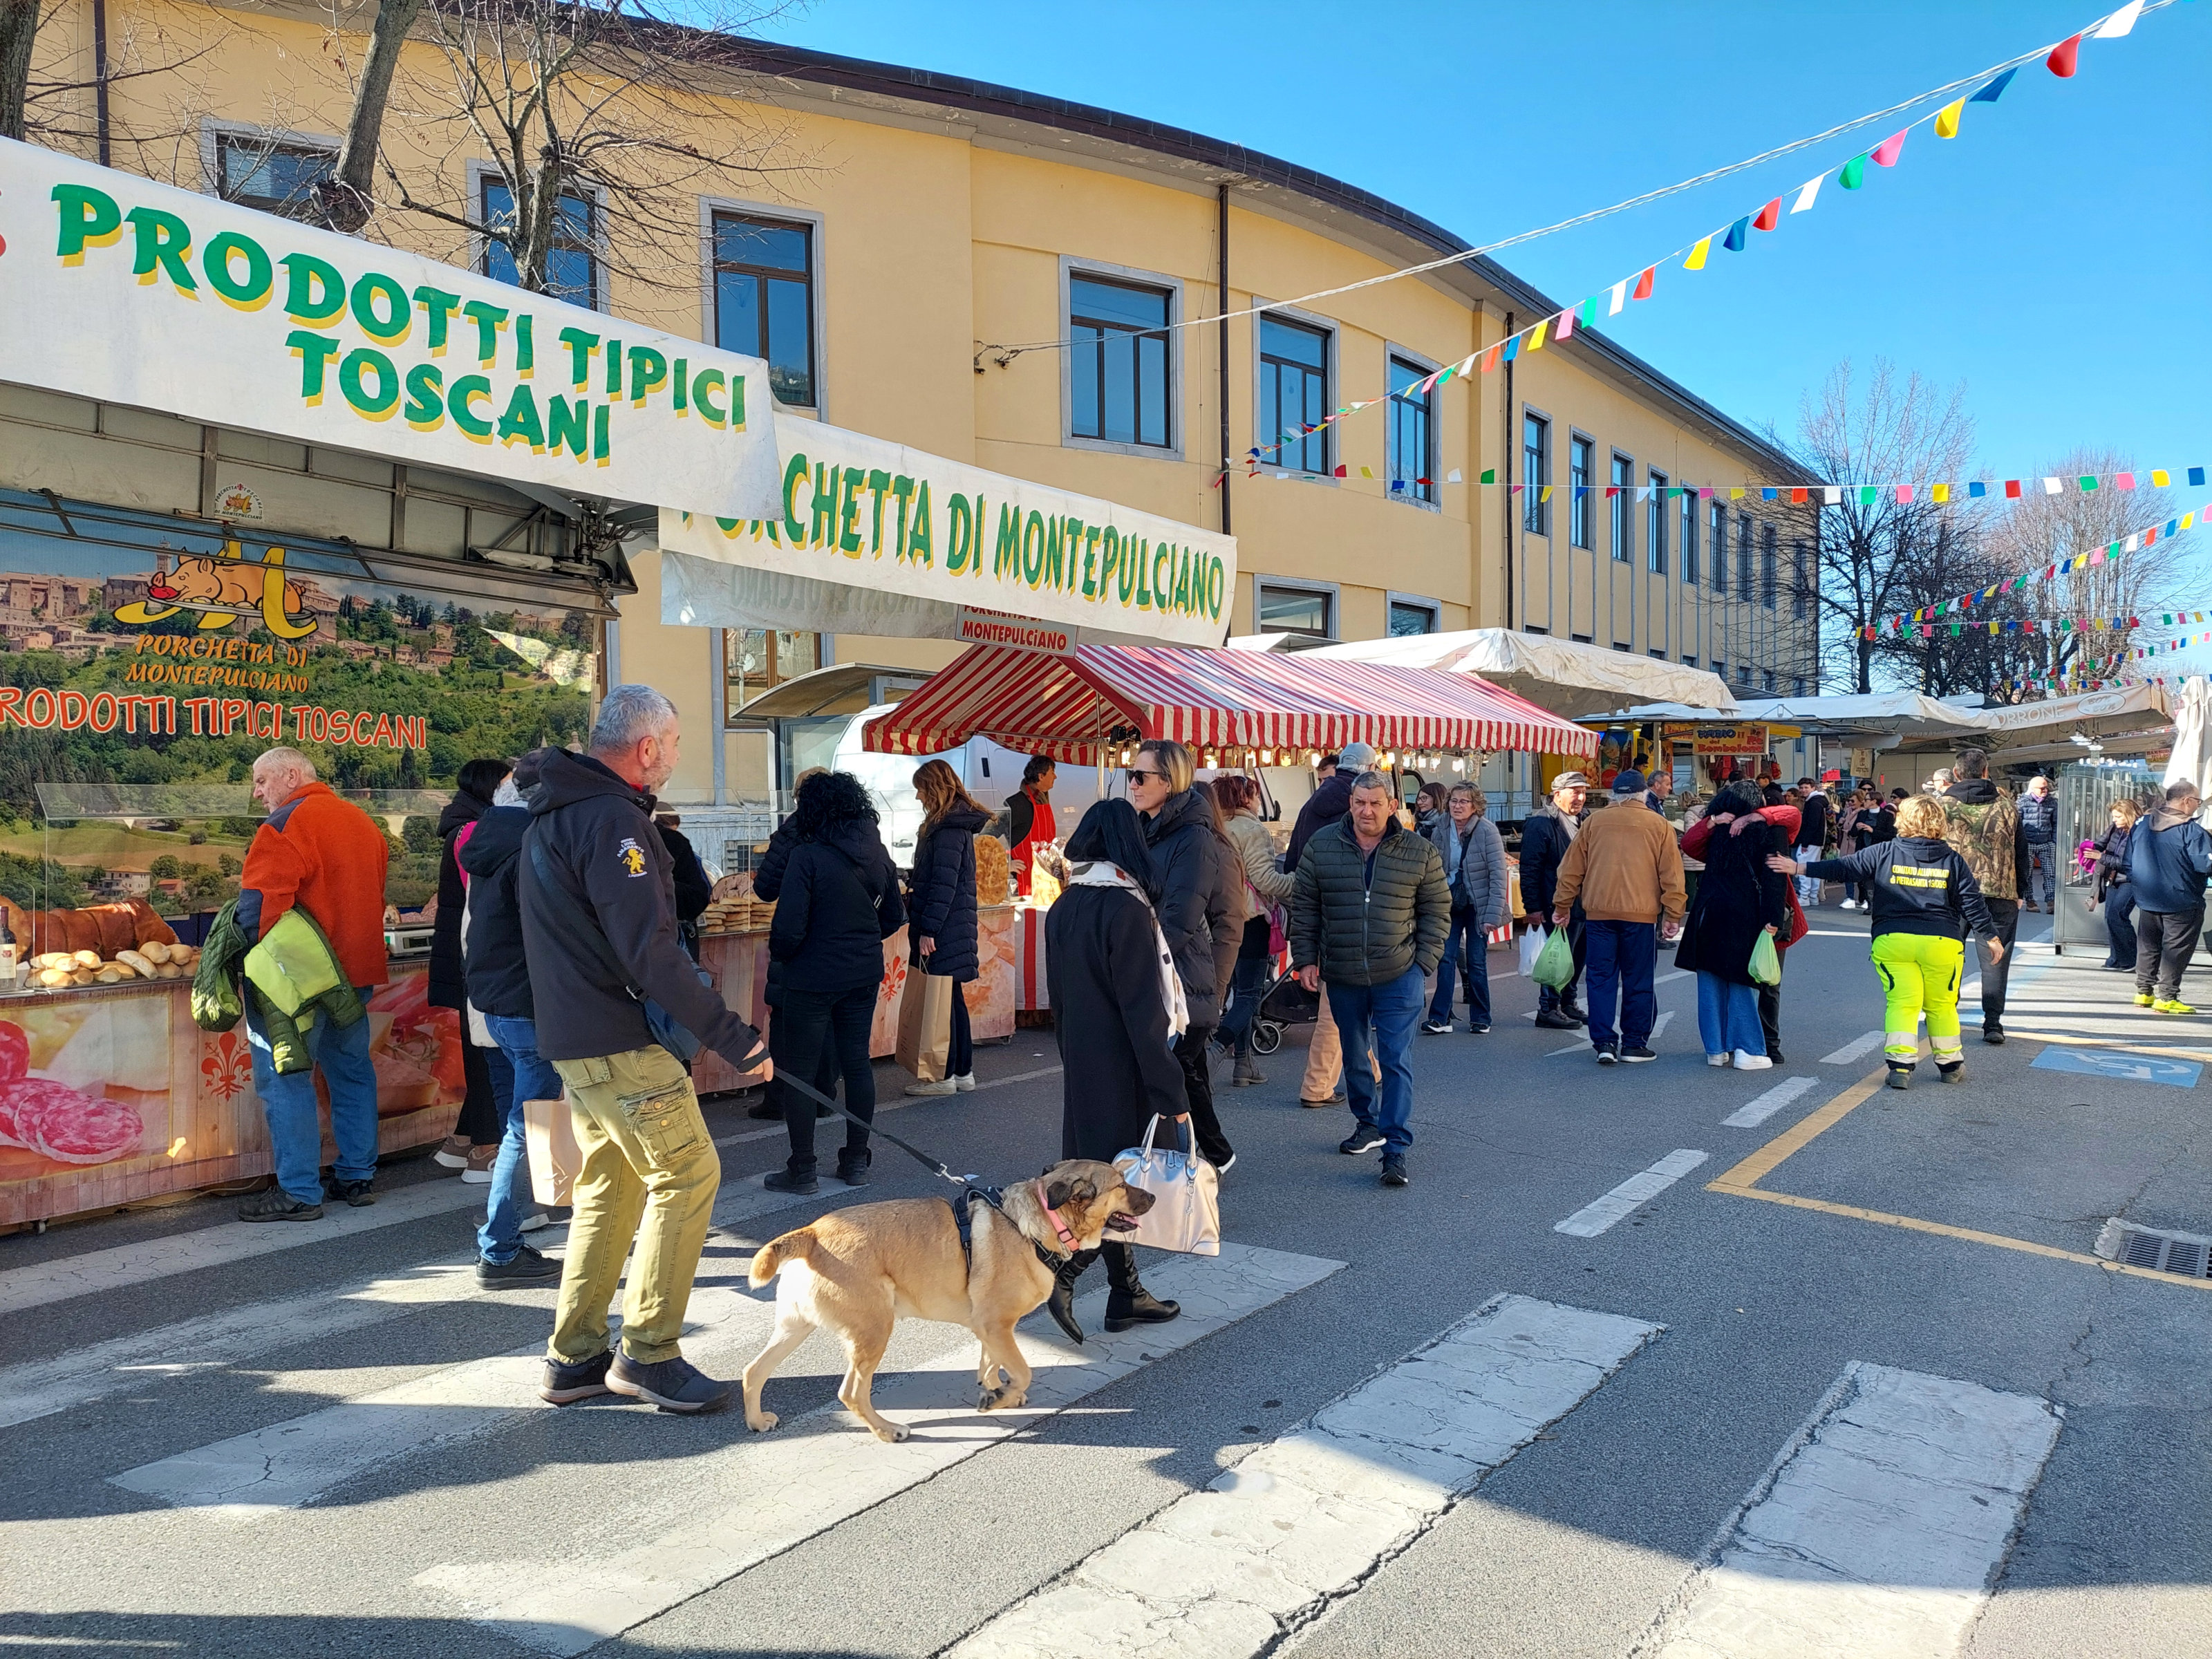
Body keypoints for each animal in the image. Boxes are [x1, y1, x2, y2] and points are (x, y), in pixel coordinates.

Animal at [743, 1168, 1159, 1442]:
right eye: (1121, 1185)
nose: (1154, 1197)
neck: (1042, 1217)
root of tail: (812, 1233)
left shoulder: (990, 1328)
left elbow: (991, 1363)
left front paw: (996, 1389)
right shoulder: (995, 1325)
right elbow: (1023, 1370)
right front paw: (1002, 1398)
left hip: (795, 1328)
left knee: (753, 1371)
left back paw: (756, 1420)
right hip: (873, 1333)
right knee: (852, 1393)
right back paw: (887, 1430)